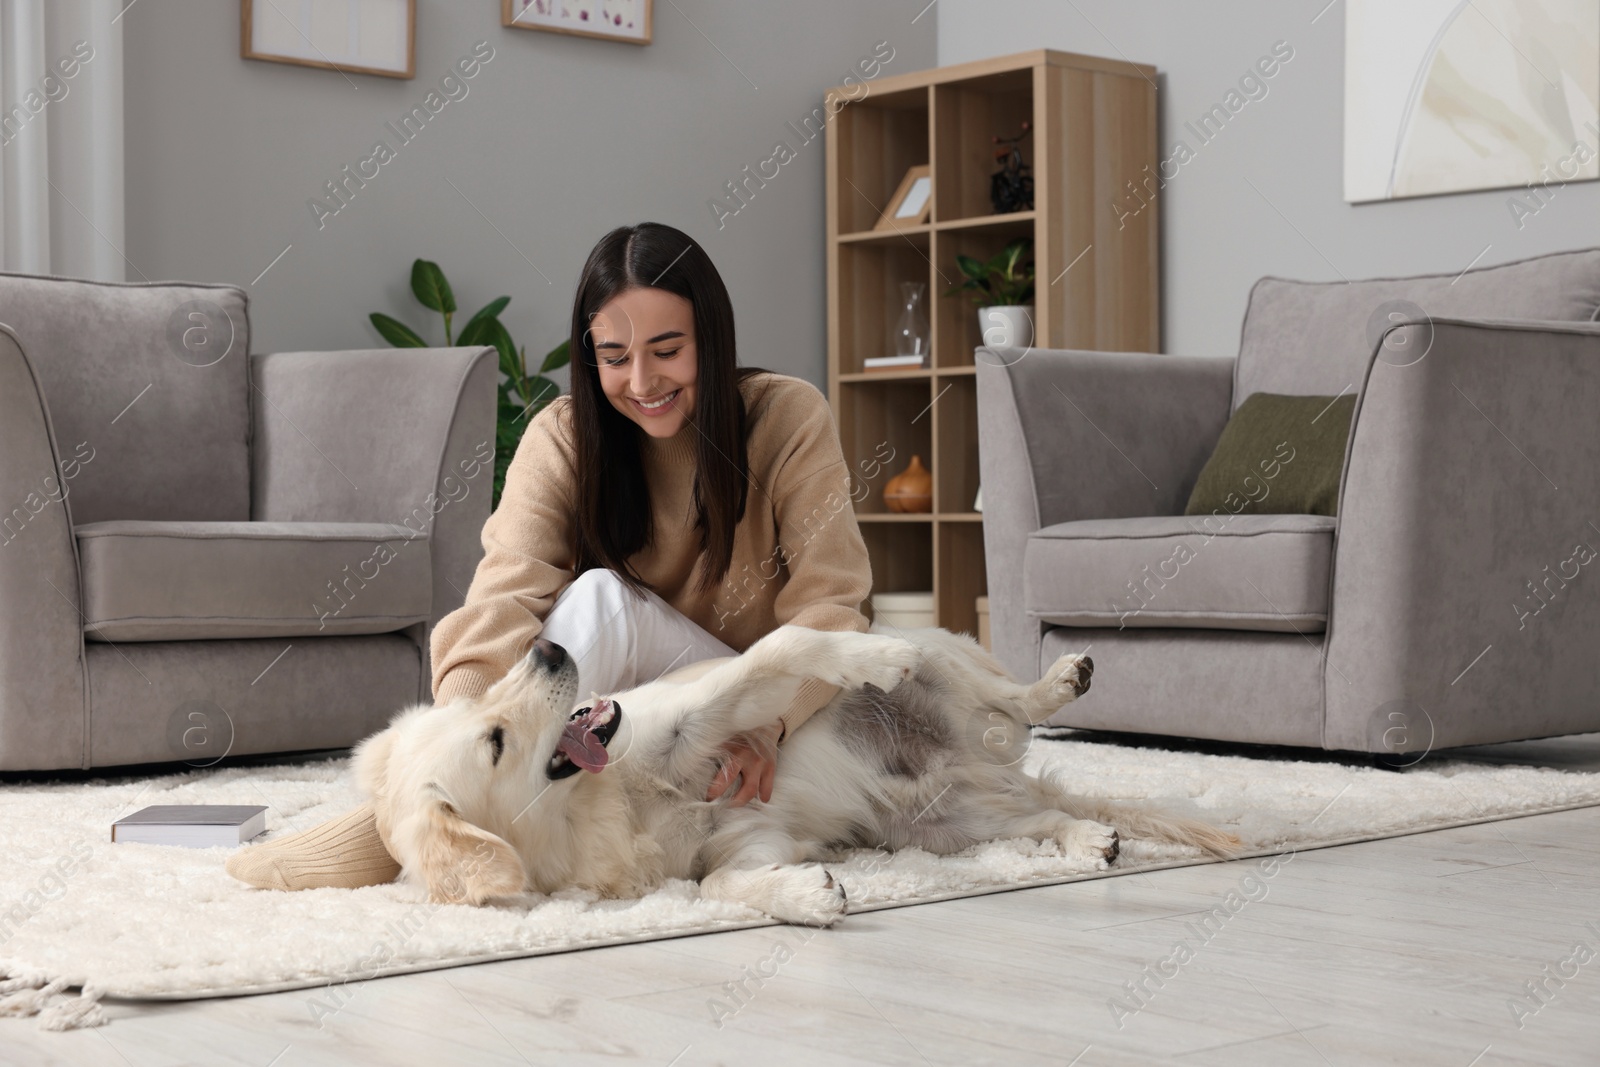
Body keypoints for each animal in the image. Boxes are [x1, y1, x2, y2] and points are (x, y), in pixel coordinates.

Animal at [356, 627, 1241, 927]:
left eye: (476, 703)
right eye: (495, 737)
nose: (546, 648)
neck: (609, 802)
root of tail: (975, 758)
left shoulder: (697, 715)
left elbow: (784, 645)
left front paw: (869, 657)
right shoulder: (739, 843)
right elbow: (719, 884)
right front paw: (810, 895)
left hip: (952, 674)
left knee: (1011, 700)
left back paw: (1060, 677)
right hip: (948, 824)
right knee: (1040, 814)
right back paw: (1089, 836)